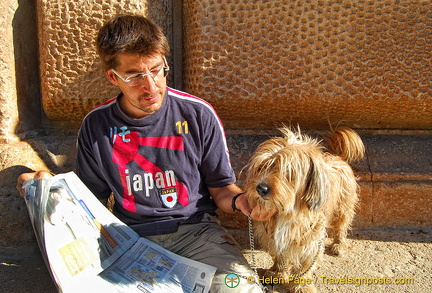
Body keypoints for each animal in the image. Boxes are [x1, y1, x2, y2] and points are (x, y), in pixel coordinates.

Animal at [243, 126, 364, 292]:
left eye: (287, 172)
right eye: (262, 167)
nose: (261, 188)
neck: (287, 211)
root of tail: (336, 156)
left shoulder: (311, 241)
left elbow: (305, 266)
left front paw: (302, 285)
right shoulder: (275, 238)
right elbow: (279, 257)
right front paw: (277, 273)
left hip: (343, 208)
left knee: (341, 226)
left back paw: (338, 244)